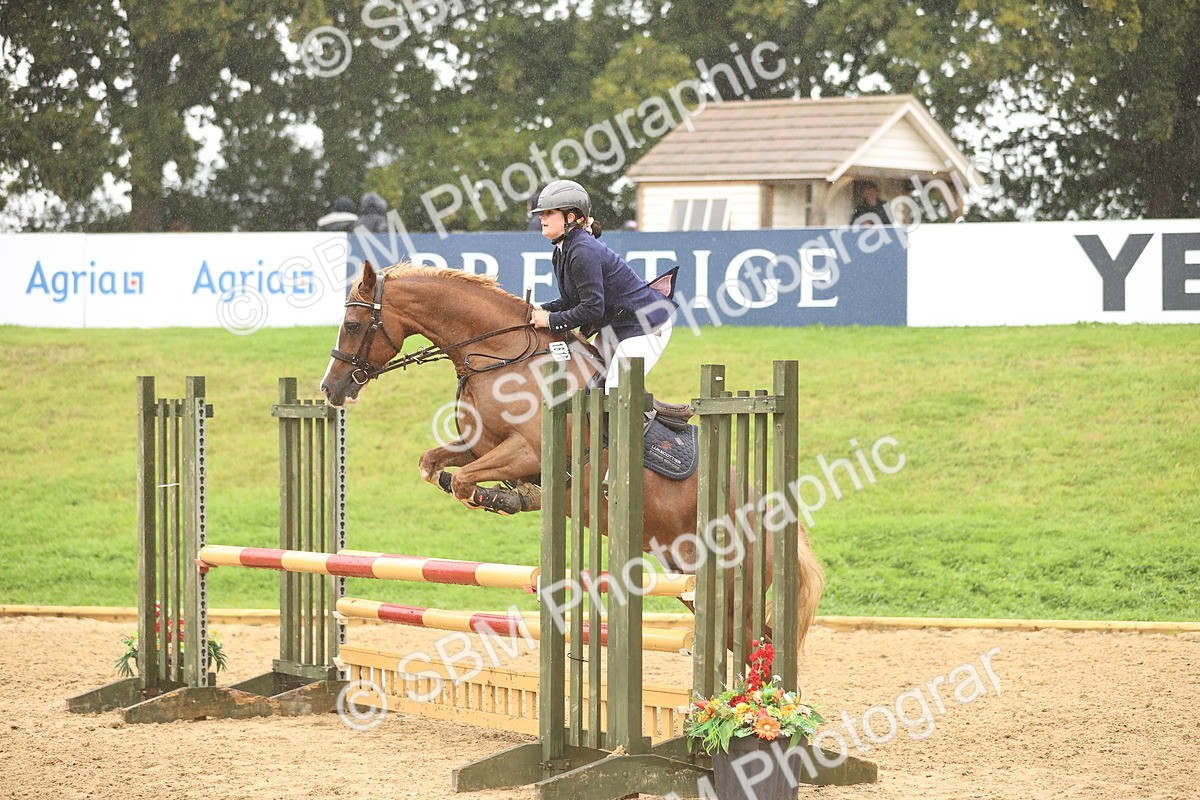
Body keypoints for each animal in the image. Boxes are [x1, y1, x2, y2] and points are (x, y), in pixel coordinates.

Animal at [319, 260, 824, 651]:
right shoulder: (480, 446)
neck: (502, 353)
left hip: (733, 585)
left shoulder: (526, 449)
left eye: (353, 325)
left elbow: (465, 482)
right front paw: (510, 495)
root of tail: (777, 516)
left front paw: (507, 497)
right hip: (690, 580)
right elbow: (433, 466)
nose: (331, 390)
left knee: (759, 646)